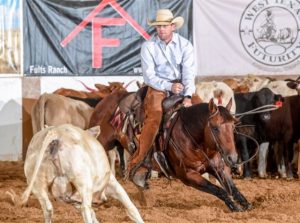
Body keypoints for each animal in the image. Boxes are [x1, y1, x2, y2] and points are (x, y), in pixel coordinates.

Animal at [10, 124, 143, 222]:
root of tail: (56, 133)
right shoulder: (111, 182)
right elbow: (131, 207)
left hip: (37, 184)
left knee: (48, 209)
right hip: (83, 182)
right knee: (85, 208)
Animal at [89, 88, 251, 211]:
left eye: (233, 126)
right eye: (215, 128)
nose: (233, 158)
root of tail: (103, 102)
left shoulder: (218, 168)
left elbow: (232, 188)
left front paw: (246, 203)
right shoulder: (188, 176)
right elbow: (218, 190)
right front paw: (234, 206)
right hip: (103, 141)